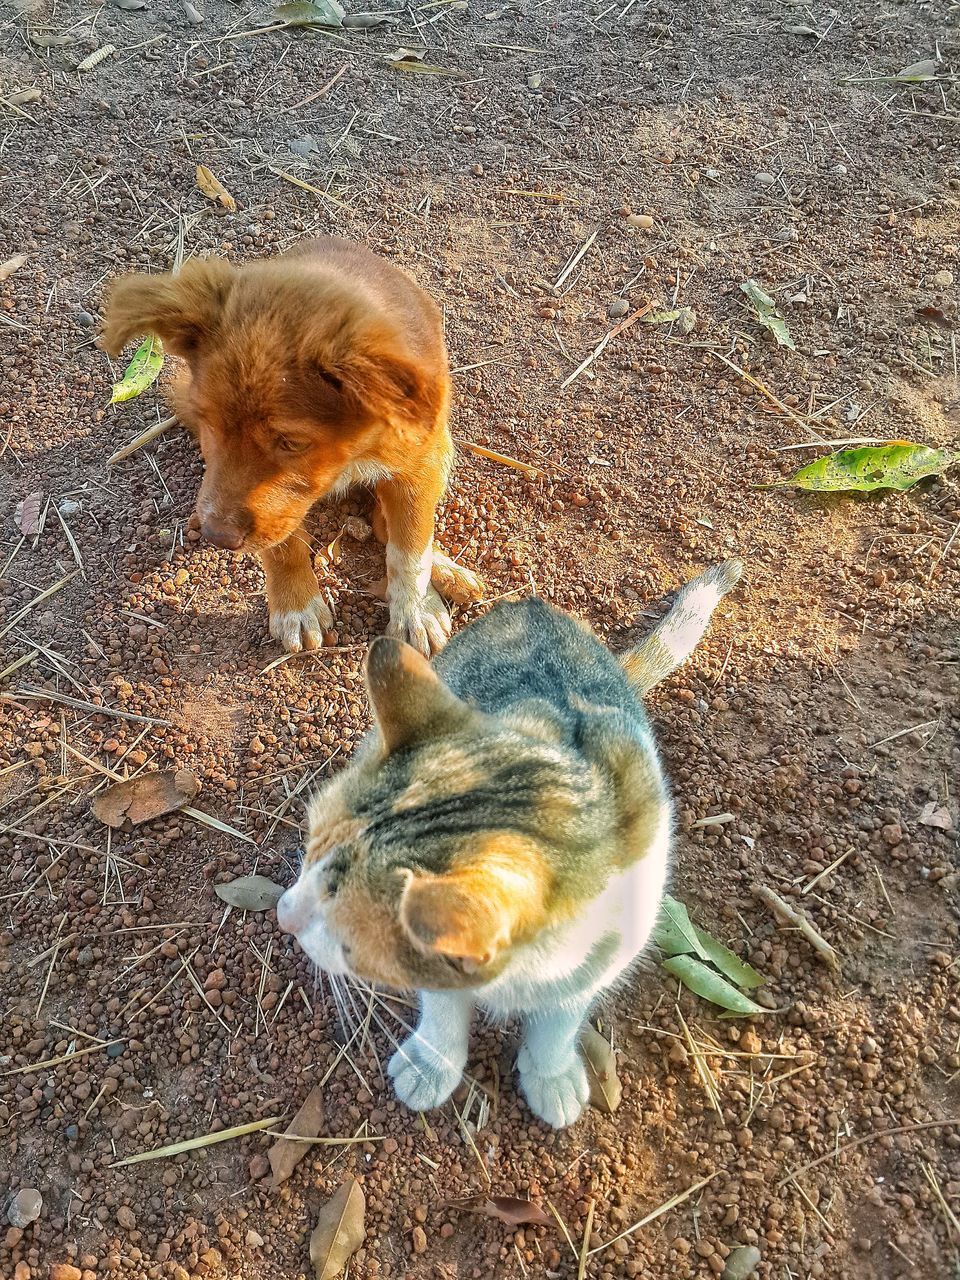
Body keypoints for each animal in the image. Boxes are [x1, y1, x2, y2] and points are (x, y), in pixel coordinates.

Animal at [101, 239, 483, 655]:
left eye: (292, 442)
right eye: (207, 421)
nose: (217, 537)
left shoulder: (416, 467)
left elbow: (410, 546)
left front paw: (415, 610)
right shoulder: (274, 505)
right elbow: (281, 542)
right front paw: (296, 604)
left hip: (442, 446)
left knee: (396, 527)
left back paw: (447, 570)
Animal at [277, 560, 742, 1131]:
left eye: (347, 938)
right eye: (308, 849)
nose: (282, 914)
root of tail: (532, 605)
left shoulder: (602, 954)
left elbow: (560, 1019)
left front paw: (550, 1073)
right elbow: (444, 1009)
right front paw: (432, 1064)